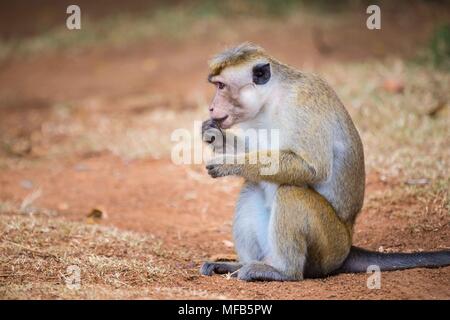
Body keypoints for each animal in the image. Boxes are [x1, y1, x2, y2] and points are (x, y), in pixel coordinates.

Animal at [199, 42, 450, 280]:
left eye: (221, 86)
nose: (211, 107)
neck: (271, 99)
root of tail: (348, 245)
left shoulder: (302, 104)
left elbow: (313, 168)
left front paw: (229, 164)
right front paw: (216, 135)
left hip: (329, 246)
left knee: (291, 192)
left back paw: (283, 271)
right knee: (252, 186)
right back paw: (240, 265)